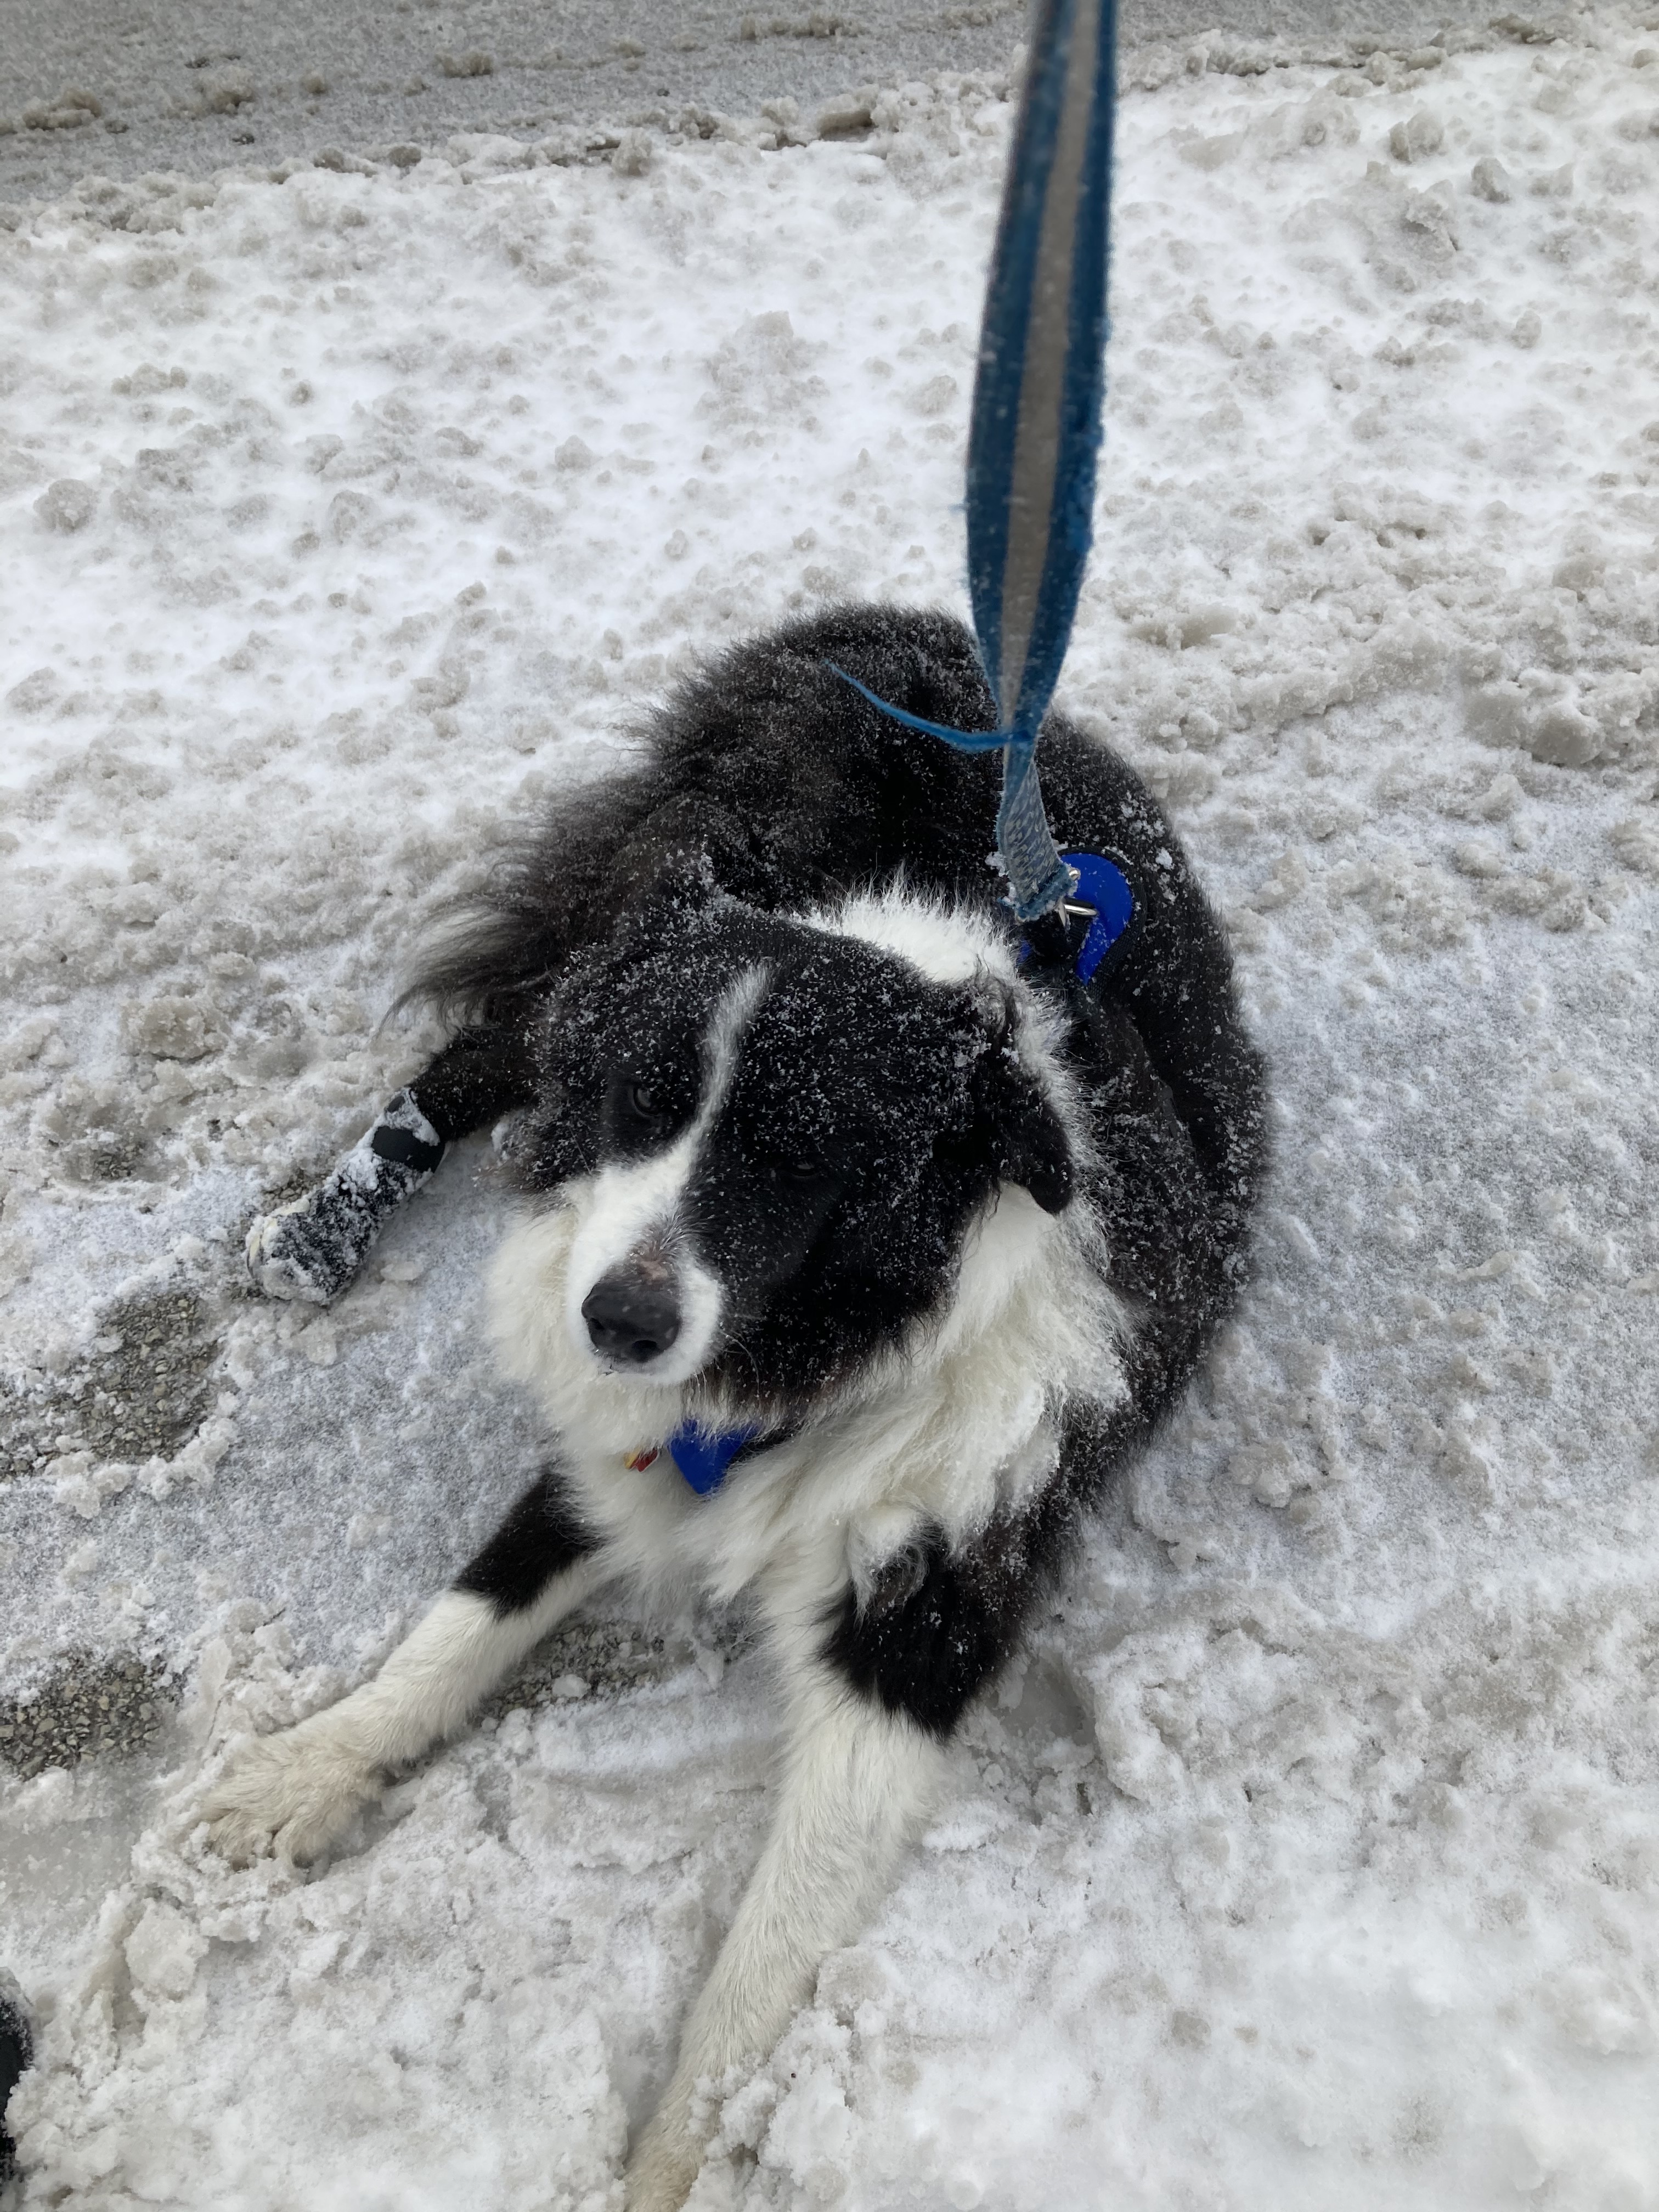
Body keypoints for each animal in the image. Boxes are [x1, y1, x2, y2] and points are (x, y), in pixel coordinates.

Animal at [205, 601, 1267, 2211]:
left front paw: (672, 2162)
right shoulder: (605, 1434)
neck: (814, 1359)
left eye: (797, 1164)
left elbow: (767, 1950)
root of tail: (902, 623)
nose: (618, 1321)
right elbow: (458, 1623)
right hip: (628, 891)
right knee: (476, 1055)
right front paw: (304, 1767)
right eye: (641, 1111)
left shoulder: (929, 1603)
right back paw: (325, 1226)